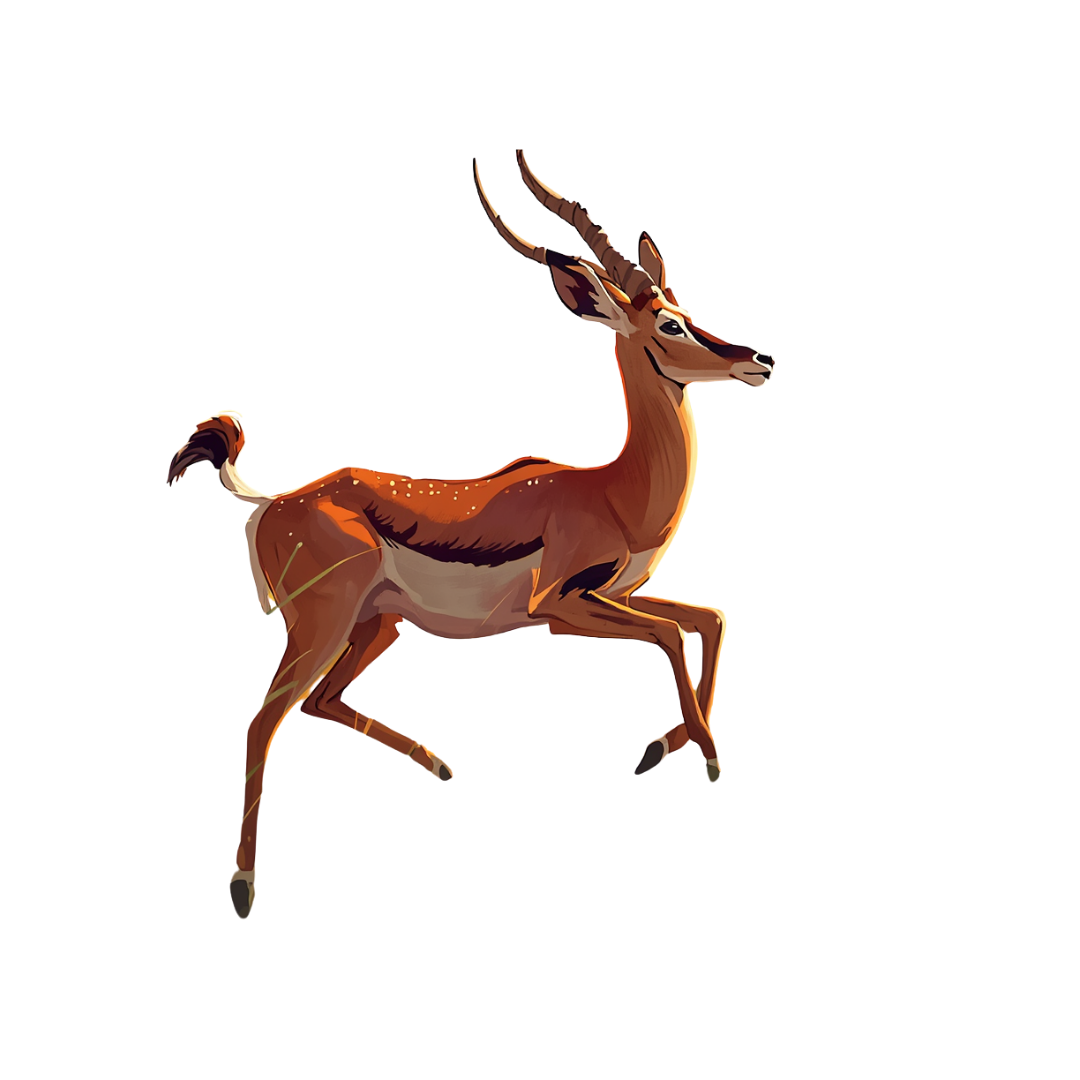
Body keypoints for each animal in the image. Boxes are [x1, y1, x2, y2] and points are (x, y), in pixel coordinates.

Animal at [167, 150, 774, 919]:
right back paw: (244, 887)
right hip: (321, 628)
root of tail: (273, 500)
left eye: (688, 312)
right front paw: (706, 756)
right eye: (668, 325)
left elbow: (711, 619)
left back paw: (438, 764)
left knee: (319, 702)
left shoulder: (615, 595)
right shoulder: (560, 608)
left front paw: (664, 747)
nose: (759, 360)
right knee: (261, 721)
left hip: (378, 626)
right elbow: (671, 633)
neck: (614, 490)